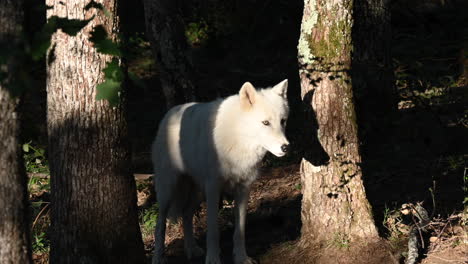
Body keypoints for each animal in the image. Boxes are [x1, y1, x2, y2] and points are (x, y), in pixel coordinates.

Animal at [152, 80, 288, 264]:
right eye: (265, 123)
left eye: (283, 121)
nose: (286, 147)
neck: (238, 139)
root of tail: (169, 113)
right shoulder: (213, 189)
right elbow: (213, 231)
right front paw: (213, 259)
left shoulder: (244, 189)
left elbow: (240, 230)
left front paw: (242, 258)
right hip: (169, 190)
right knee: (160, 224)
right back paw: (158, 257)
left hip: (197, 192)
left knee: (186, 215)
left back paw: (192, 250)